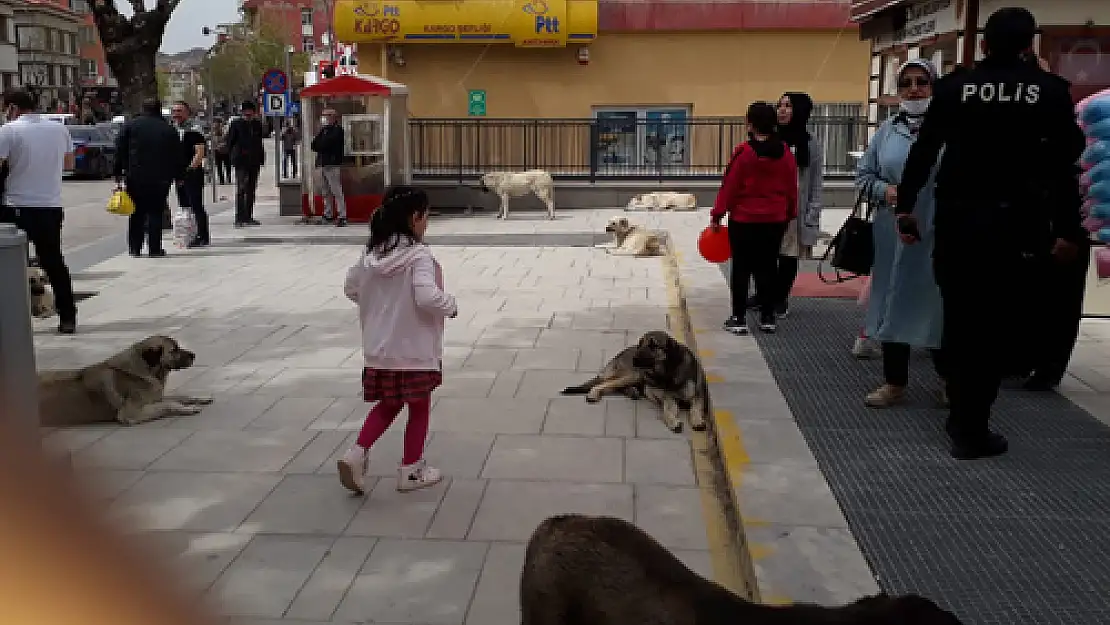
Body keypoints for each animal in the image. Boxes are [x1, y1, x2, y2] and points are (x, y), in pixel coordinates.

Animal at [38, 335, 212, 428]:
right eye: (174, 350)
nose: (194, 355)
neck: (144, 369)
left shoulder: (155, 397)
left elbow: (179, 396)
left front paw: (199, 398)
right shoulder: (131, 413)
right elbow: (168, 404)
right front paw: (188, 408)